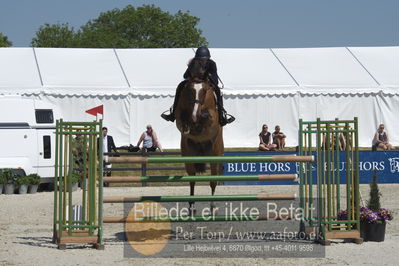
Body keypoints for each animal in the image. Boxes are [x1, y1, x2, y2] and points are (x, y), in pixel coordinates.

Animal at [175, 58, 225, 214]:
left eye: (204, 90)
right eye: (190, 90)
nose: (194, 115)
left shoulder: (213, 120)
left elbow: (207, 117)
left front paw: (199, 117)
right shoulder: (180, 117)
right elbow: (182, 119)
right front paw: (189, 123)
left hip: (215, 155)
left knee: (213, 181)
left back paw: (212, 206)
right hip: (188, 156)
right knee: (192, 180)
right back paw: (191, 206)